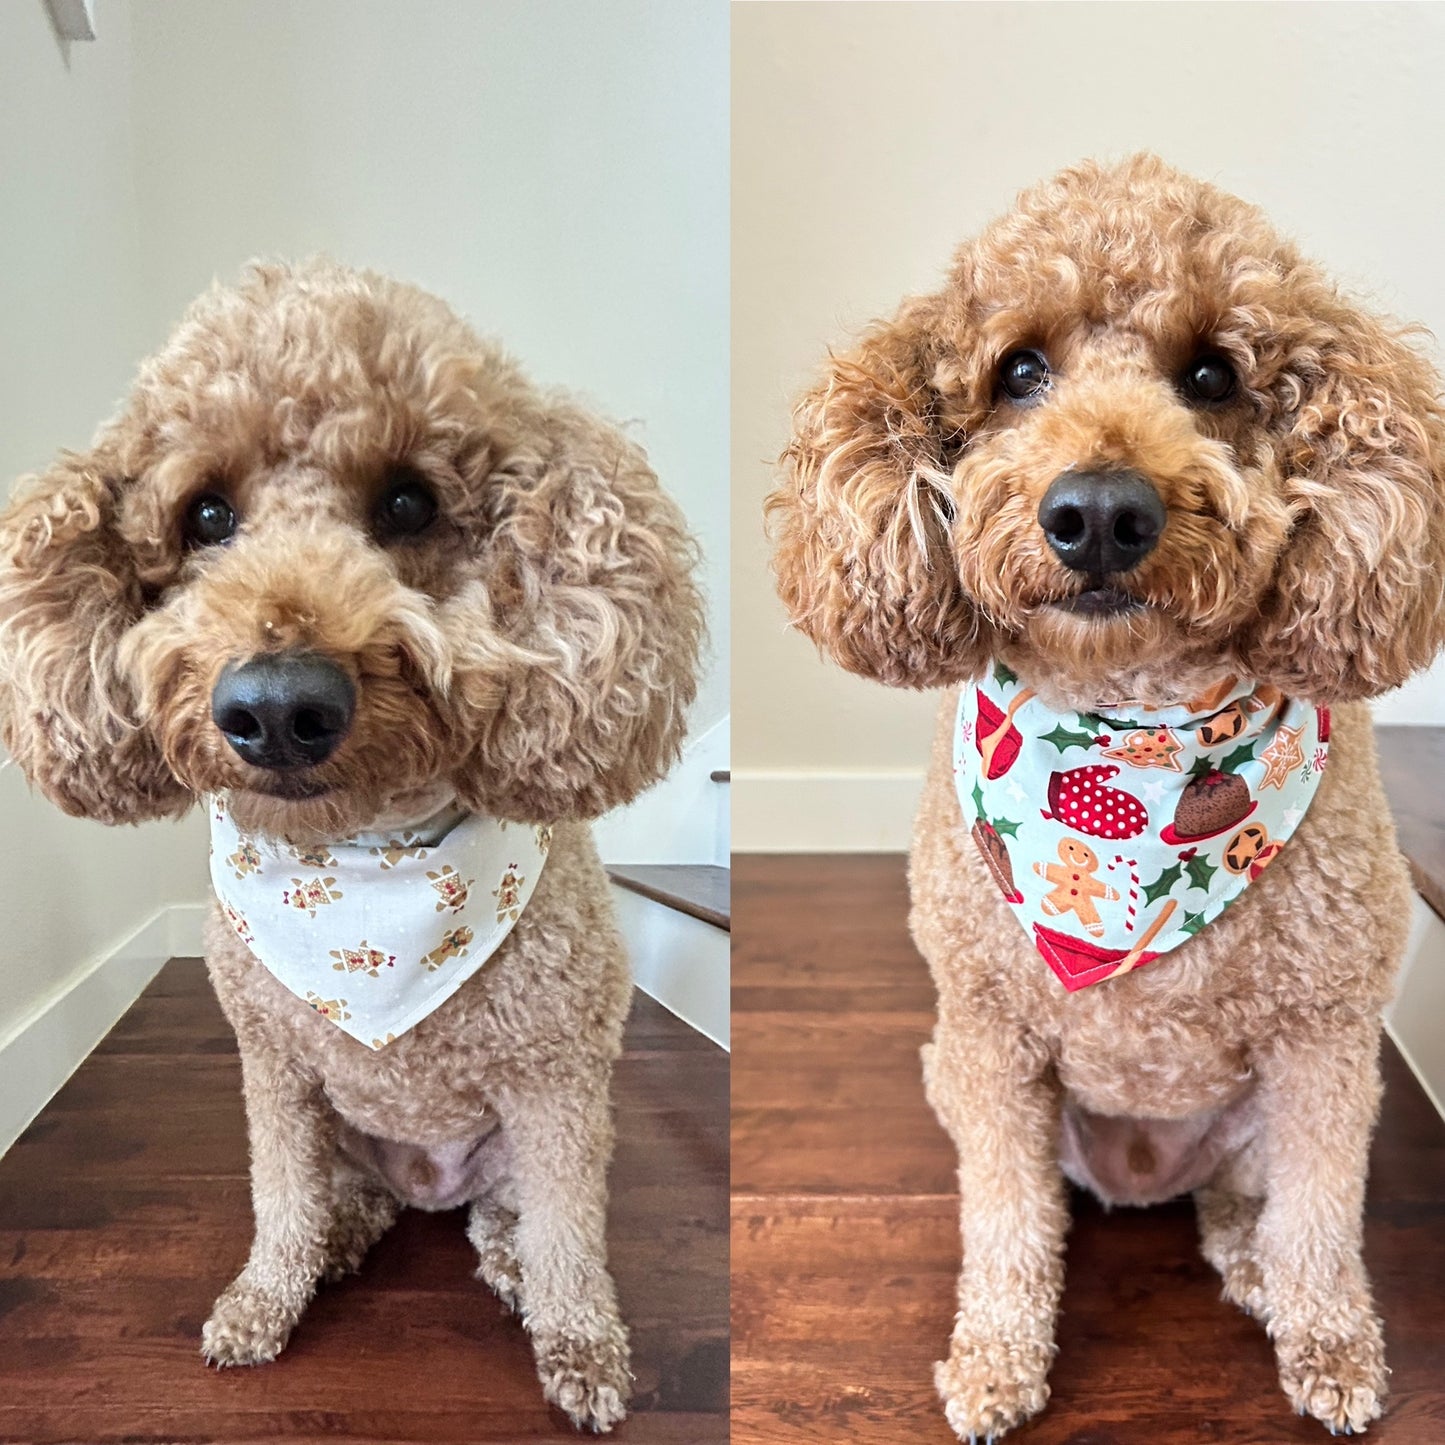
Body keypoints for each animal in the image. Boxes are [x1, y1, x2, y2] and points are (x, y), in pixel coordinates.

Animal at [0, 257, 699, 1421]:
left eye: (408, 501)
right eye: (205, 514)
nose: (278, 707)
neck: (367, 865)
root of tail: (422, 1185)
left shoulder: (555, 1083)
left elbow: (569, 1232)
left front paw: (584, 1350)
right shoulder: (277, 1070)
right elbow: (280, 1199)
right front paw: (262, 1299)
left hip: (513, 1146)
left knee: (514, 1216)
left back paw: (506, 1258)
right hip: (348, 1136)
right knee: (340, 1198)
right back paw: (340, 1238)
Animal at [768, 152, 1445, 1439]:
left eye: (1212, 374)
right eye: (1017, 370)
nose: (1095, 511)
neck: (1133, 724)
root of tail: (1141, 1179)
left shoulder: (1323, 1040)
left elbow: (1321, 1216)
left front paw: (1331, 1349)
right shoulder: (988, 1036)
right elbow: (1004, 1223)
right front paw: (995, 1359)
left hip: (1252, 1116)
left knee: (1247, 1197)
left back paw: (1247, 1260)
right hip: (954, 1073)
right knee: (1043, 1192)